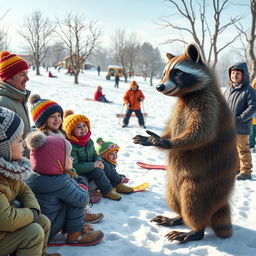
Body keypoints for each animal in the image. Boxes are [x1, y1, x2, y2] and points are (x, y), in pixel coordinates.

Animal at [133, 44, 237, 244]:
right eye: (164, 72)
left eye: (177, 72)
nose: (159, 86)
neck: (186, 95)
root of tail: (221, 203)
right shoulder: (178, 109)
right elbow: (171, 127)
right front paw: (154, 138)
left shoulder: (208, 103)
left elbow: (202, 133)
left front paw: (167, 142)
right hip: (172, 183)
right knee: (175, 198)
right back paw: (177, 217)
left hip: (205, 184)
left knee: (194, 203)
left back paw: (195, 230)